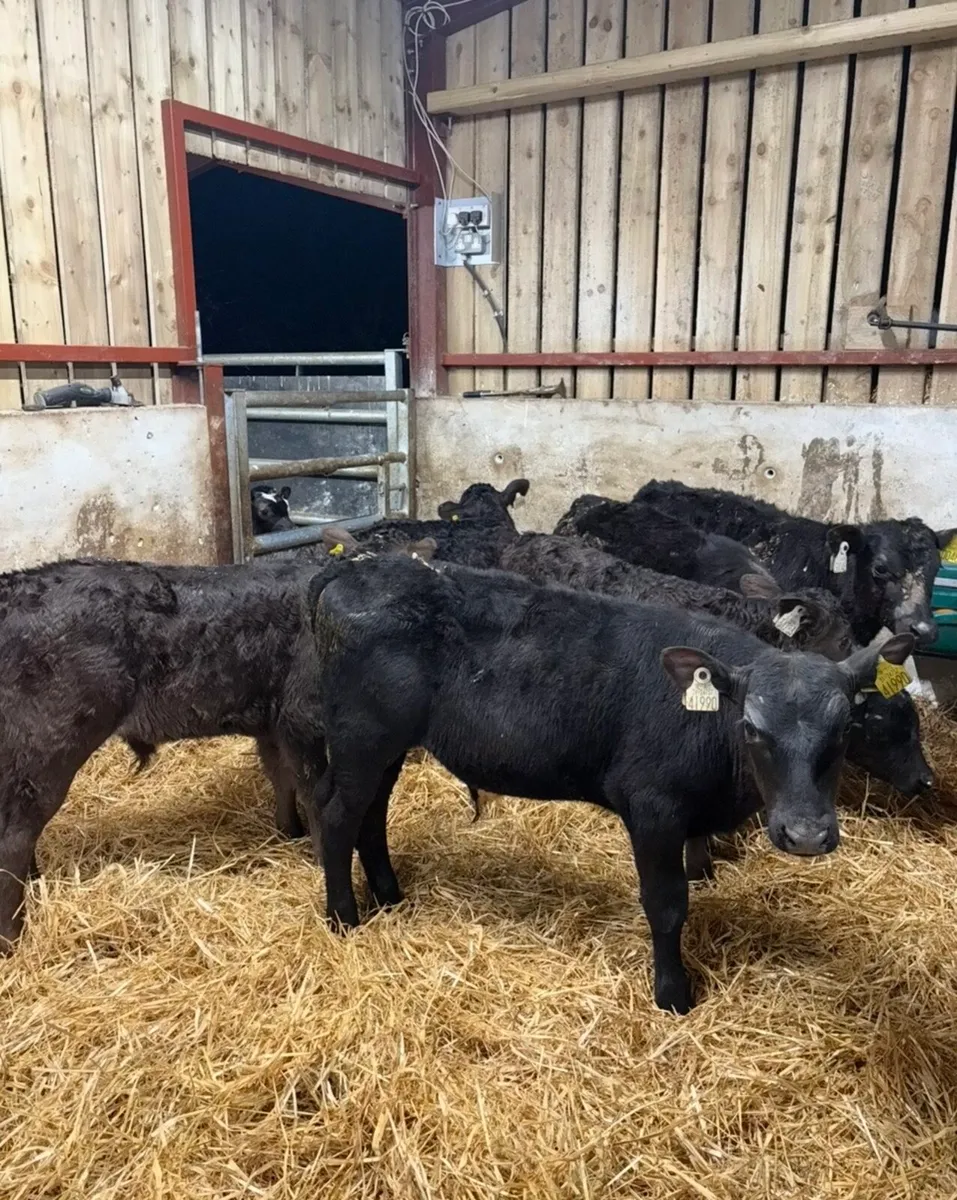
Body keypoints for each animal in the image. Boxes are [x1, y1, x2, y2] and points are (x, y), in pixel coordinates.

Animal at [306, 553, 914, 1013]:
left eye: (846, 727)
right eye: (751, 727)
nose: (806, 835)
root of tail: (357, 567)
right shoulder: (653, 807)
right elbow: (666, 904)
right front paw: (673, 995)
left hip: (387, 746)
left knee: (371, 817)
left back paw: (390, 897)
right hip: (363, 736)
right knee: (337, 817)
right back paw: (344, 918)